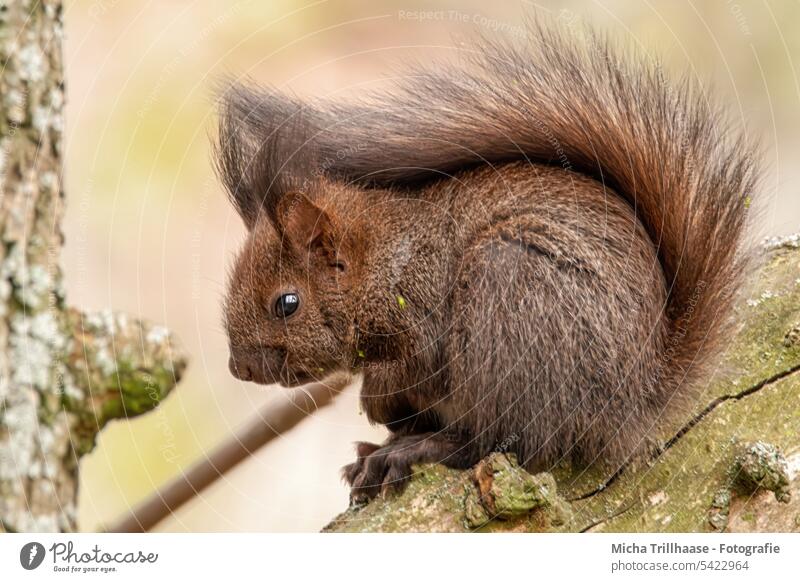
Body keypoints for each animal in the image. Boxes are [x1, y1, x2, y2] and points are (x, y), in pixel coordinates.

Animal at [216, 22, 760, 504]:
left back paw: (413, 448)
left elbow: (417, 366)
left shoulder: (424, 303)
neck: (384, 259)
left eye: (287, 303)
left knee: (504, 440)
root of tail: (638, 397)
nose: (238, 367)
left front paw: (377, 397)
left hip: (511, 305)